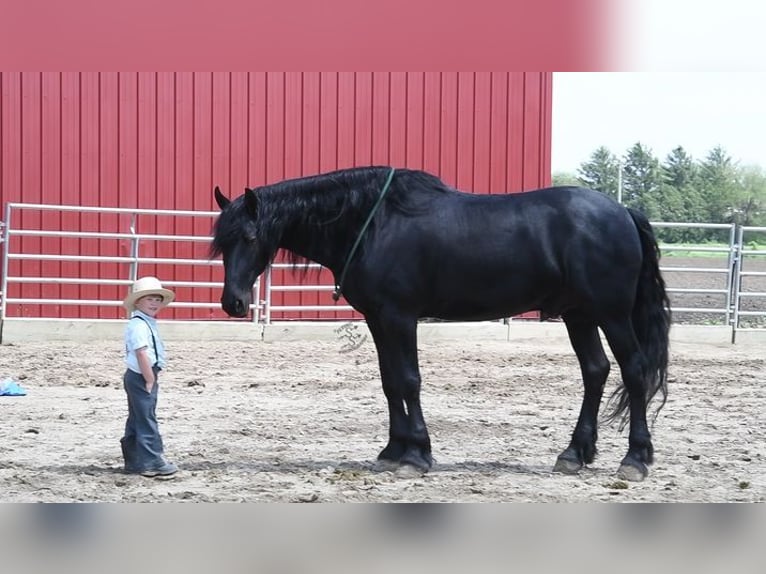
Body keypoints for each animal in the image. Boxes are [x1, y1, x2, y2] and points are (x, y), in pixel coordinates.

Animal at [212, 165, 672, 482]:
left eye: (250, 237)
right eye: (221, 242)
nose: (233, 302)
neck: (374, 224)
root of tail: (623, 212)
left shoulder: (400, 317)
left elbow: (409, 380)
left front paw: (417, 455)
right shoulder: (378, 319)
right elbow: (390, 383)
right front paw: (392, 450)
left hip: (611, 315)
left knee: (633, 372)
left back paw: (634, 459)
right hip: (579, 316)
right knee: (595, 371)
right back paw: (574, 454)